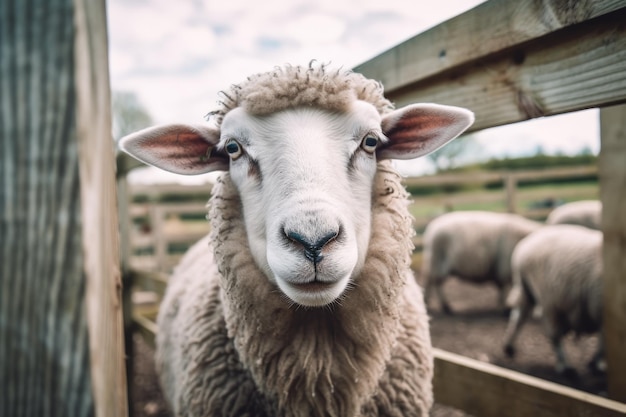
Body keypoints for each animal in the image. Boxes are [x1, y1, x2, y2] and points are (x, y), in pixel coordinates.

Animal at [500, 224, 604, 376]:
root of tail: (523, 246)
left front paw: (597, 362)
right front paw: (599, 363)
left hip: (526, 289)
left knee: (519, 316)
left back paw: (509, 347)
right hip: (549, 300)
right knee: (554, 335)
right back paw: (565, 366)